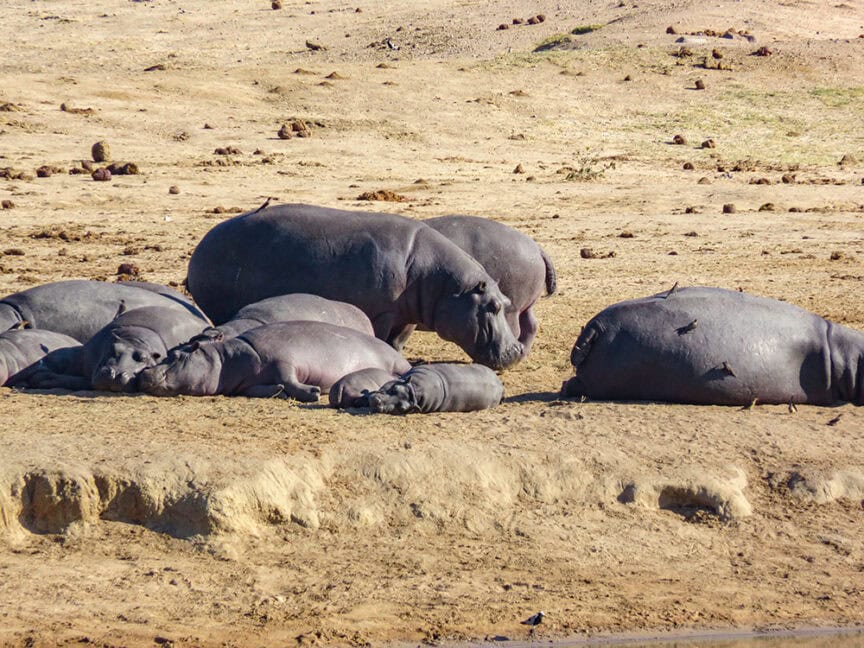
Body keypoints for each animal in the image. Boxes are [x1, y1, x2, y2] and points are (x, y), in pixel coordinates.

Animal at [138, 321, 412, 401]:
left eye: (176, 356)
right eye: (166, 353)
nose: (143, 373)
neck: (223, 360)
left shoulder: (283, 362)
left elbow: (290, 380)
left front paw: (312, 392)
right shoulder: (245, 385)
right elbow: (263, 388)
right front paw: (277, 391)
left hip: (394, 363)